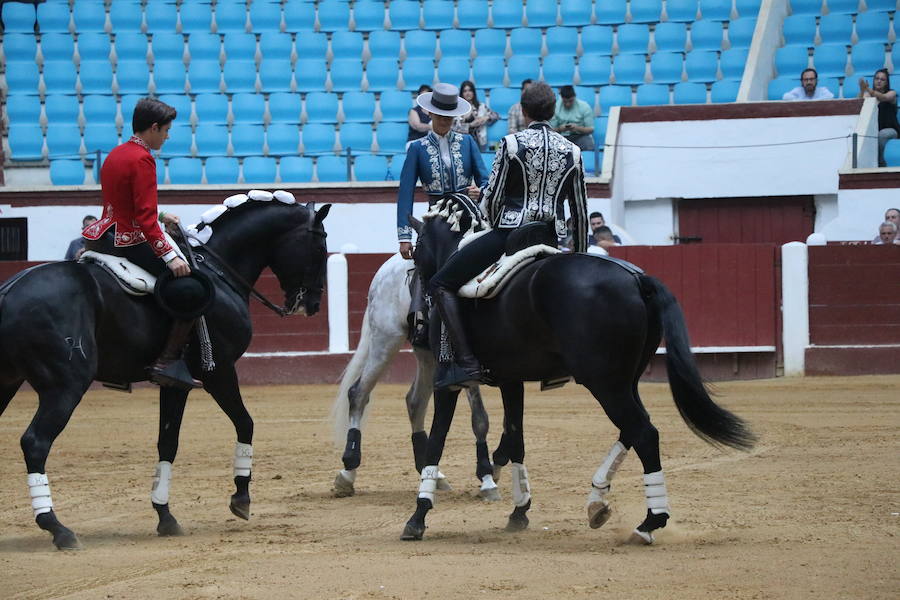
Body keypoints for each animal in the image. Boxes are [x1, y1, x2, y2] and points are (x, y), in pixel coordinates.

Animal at [0, 197, 330, 548]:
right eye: (319, 245)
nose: (312, 304)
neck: (219, 272)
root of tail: (9, 290)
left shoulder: (175, 384)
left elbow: (167, 442)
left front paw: (165, 515)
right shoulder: (219, 371)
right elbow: (245, 423)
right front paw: (241, 497)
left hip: (7, 381)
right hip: (66, 386)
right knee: (36, 442)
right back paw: (57, 527)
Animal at [330, 255, 500, 500]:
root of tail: (384, 270)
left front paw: (492, 472)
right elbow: (480, 418)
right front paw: (487, 479)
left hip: (426, 355)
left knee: (415, 401)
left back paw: (432, 474)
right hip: (386, 340)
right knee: (358, 393)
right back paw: (348, 472)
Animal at [404, 200, 756, 544]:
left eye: (416, 252)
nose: (416, 323)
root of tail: (636, 279)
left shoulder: (447, 382)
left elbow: (437, 440)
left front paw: (418, 517)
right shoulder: (512, 381)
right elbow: (516, 438)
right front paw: (519, 511)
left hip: (604, 383)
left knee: (644, 432)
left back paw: (648, 522)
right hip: (625, 380)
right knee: (633, 429)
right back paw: (597, 502)